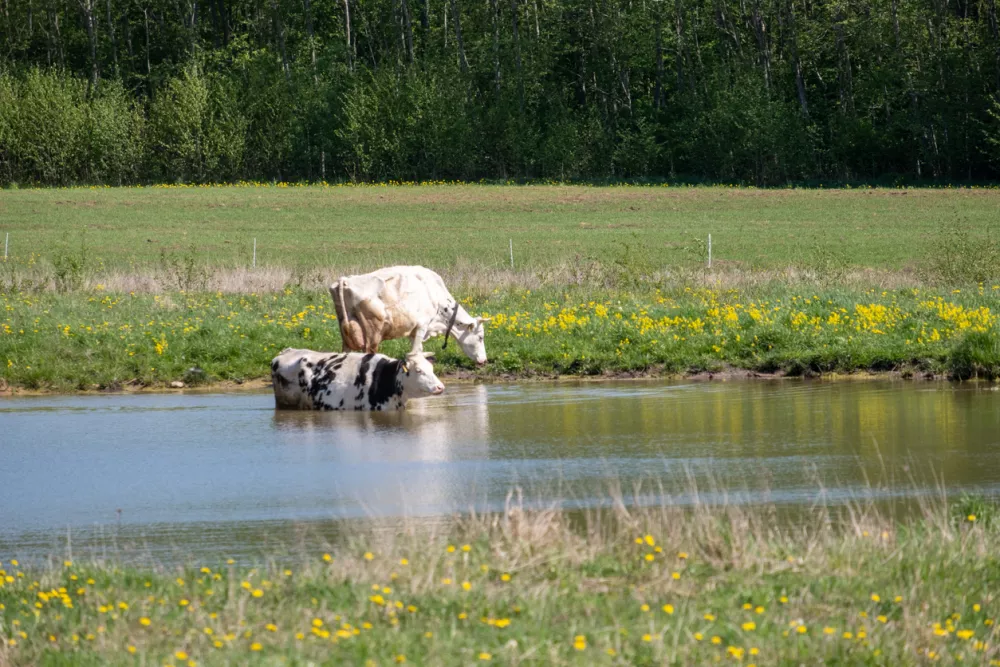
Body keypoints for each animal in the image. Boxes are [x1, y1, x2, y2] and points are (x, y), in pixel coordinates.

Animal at [329, 266, 490, 366]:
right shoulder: (422, 325)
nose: (484, 360)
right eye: (480, 337)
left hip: (346, 332)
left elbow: (418, 350)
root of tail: (345, 280)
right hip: (372, 332)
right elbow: (416, 351)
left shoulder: (414, 331)